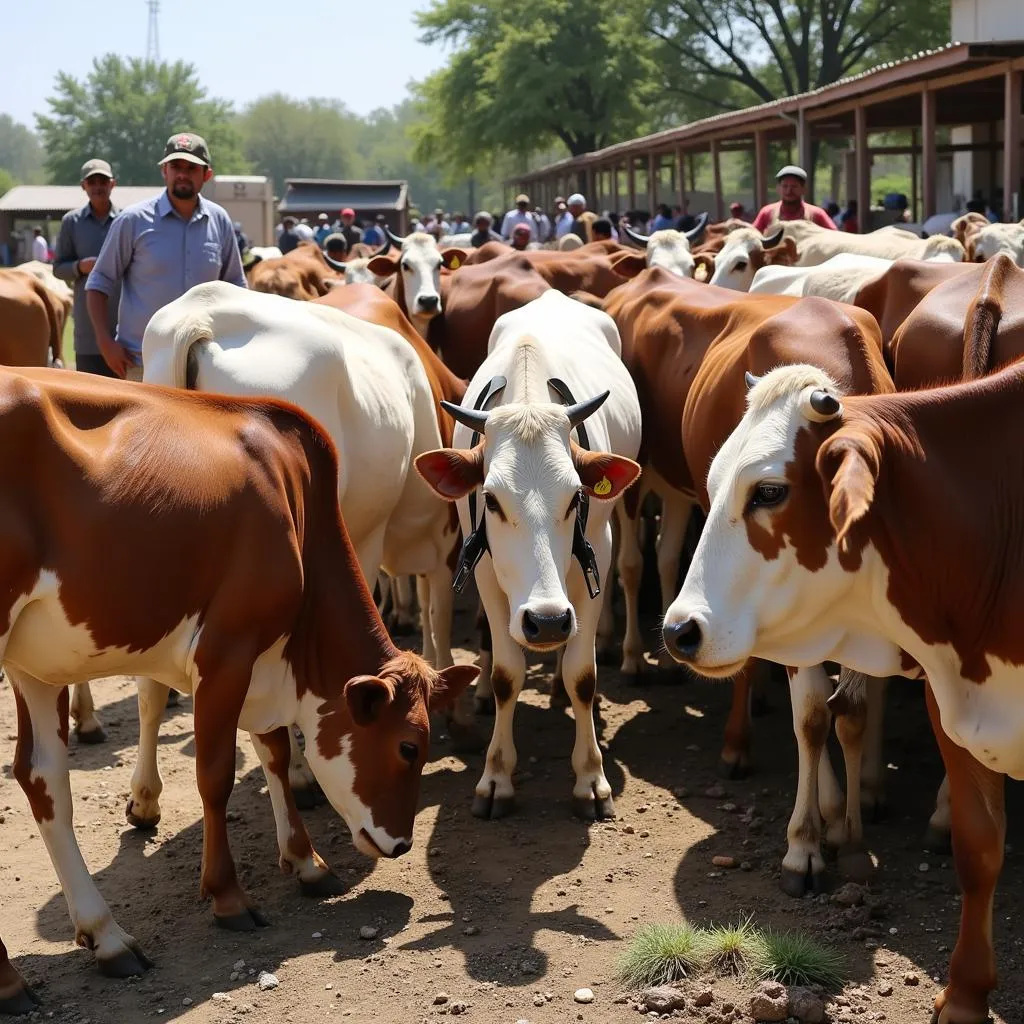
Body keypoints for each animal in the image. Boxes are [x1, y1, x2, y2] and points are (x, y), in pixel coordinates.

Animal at [1, 366, 475, 999]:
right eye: (408, 748)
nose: (401, 844)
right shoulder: (226, 650)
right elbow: (216, 775)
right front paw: (228, 897)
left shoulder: (261, 659)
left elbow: (273, 749)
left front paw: (306, 861)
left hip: (34, 662)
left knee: (43, 778)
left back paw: (105, 935)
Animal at [411, 292, 634, 819]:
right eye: (491, 500)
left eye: (576, 496)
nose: (547, 621)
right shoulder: (485, 569)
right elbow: (506, 675)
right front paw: (496, 778)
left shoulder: (594, 558)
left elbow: (582, 673)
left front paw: (591, 778)